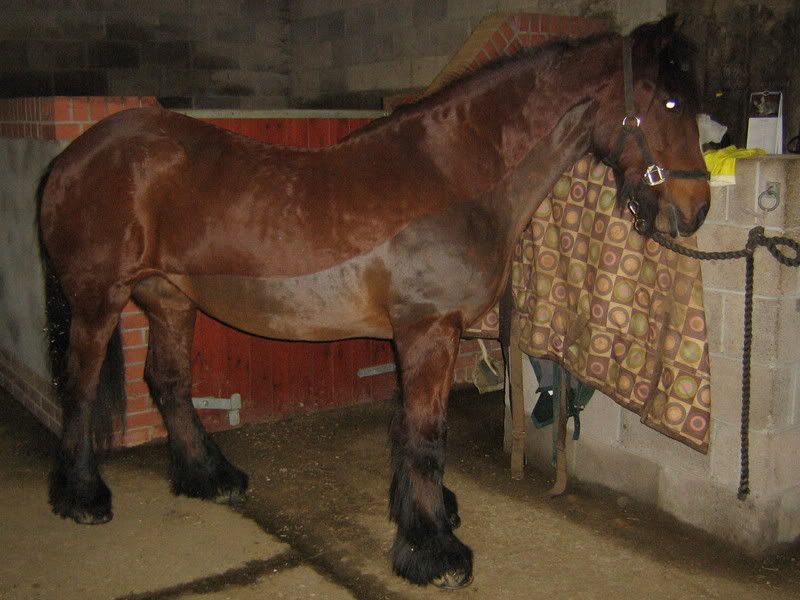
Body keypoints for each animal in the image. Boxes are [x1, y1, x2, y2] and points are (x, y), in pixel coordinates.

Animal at [37, 15, 709, 589]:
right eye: (672, 103)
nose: (696, 208)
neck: (453, 176)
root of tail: (76, 155)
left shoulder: (423, 334)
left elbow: (408, 426)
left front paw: (421, 517)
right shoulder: (428, 329)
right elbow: (427, 436)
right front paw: (434, 551)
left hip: (170, 300)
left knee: (170, 382)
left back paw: (210, 478)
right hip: (98, 302)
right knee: (80, 386)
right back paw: (82, 496)